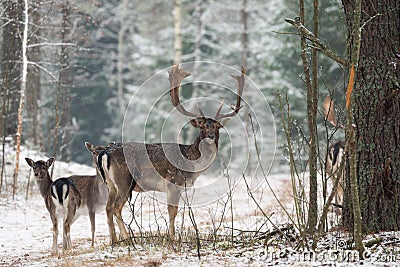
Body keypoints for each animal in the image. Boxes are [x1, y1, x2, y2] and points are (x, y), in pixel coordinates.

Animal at [86, 65, 245, 245]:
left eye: (217, 126)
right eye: (202, 126)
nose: (210, 136)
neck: (192, 164)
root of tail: (104, 153)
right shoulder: (174, 183)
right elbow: (172, 211)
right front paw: (172, 237)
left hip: (110, 184)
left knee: (107, 208)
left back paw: (114, 240)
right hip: (124, 181)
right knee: (115, 207)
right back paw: (127, 239)